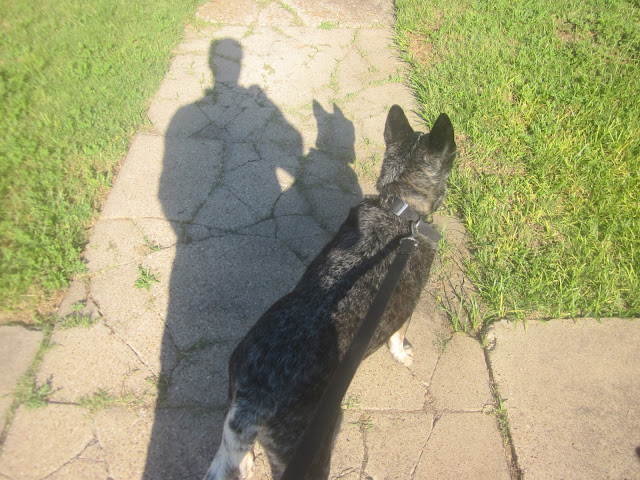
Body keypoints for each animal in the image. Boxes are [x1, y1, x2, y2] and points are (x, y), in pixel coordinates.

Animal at [204, 105, 456, 480]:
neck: (400, 208)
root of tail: (255, 397)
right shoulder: (407, 306)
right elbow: (398, 336)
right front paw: (402, 354)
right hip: (315, 449)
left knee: (238, 456)